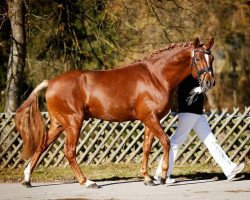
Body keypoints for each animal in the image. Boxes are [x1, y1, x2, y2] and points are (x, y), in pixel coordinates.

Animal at [14, 38, 216, 189]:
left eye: (212, 58)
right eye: (198, 59)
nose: (210, 82)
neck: (156, 76)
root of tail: (51, 82)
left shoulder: (150, 119)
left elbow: (146, 147)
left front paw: (148, 178)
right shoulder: (150, 118)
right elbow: (165, 142)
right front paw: (163, 176)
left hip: (58, 124)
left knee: (42, 145)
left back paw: (27, 179)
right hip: (73, 122)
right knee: (69, 151)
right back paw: (87, 182)